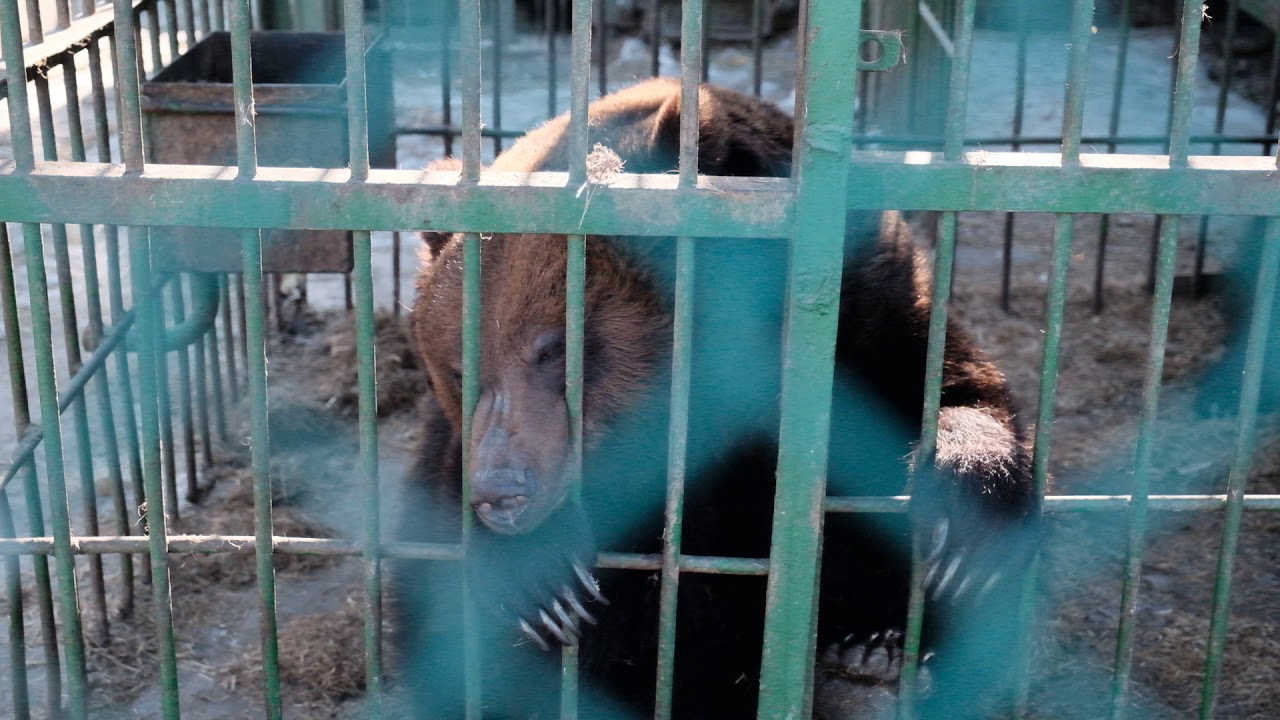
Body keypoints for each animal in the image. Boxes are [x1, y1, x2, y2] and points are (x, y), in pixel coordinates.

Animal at [391, 78, 1039, 717]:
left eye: (554, 350)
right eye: (459, 369)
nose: (500, 492)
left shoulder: (870, 311)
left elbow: (953, 393)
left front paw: (964, 521)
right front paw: (544, 581)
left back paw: (870, 663)